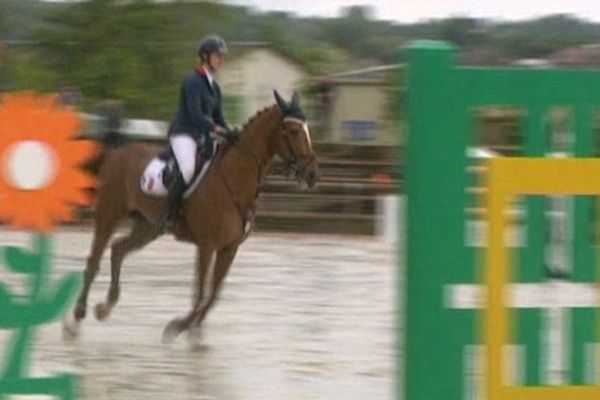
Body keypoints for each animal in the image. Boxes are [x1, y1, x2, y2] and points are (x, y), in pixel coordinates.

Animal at [65, 92, 318, 342]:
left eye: (307, 129)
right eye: (294, 131)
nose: (313, 175)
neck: (234, 178)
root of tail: (115, 152)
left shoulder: (230, 247)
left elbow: (214, 292)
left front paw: (194, 328)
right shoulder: (207, 245)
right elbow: (201, 290)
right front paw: (179, 326)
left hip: (148, 226)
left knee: (118, 250)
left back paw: (104, 308)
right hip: (109, 215)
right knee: (94, 261)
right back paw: (75, 320)